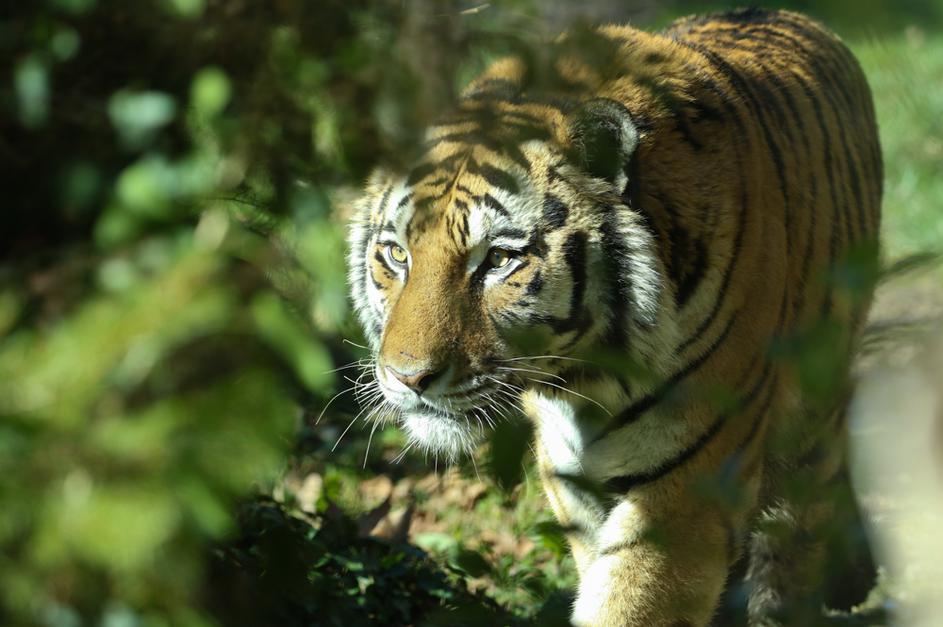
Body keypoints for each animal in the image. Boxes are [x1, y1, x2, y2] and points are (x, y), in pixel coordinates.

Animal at [347, 7, 882, 626]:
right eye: (397, 255)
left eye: (499, 260)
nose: (408, 378)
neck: (586, 378)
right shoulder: (570, 476)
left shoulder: (688, 484)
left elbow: (632, 597)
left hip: (812, 426)